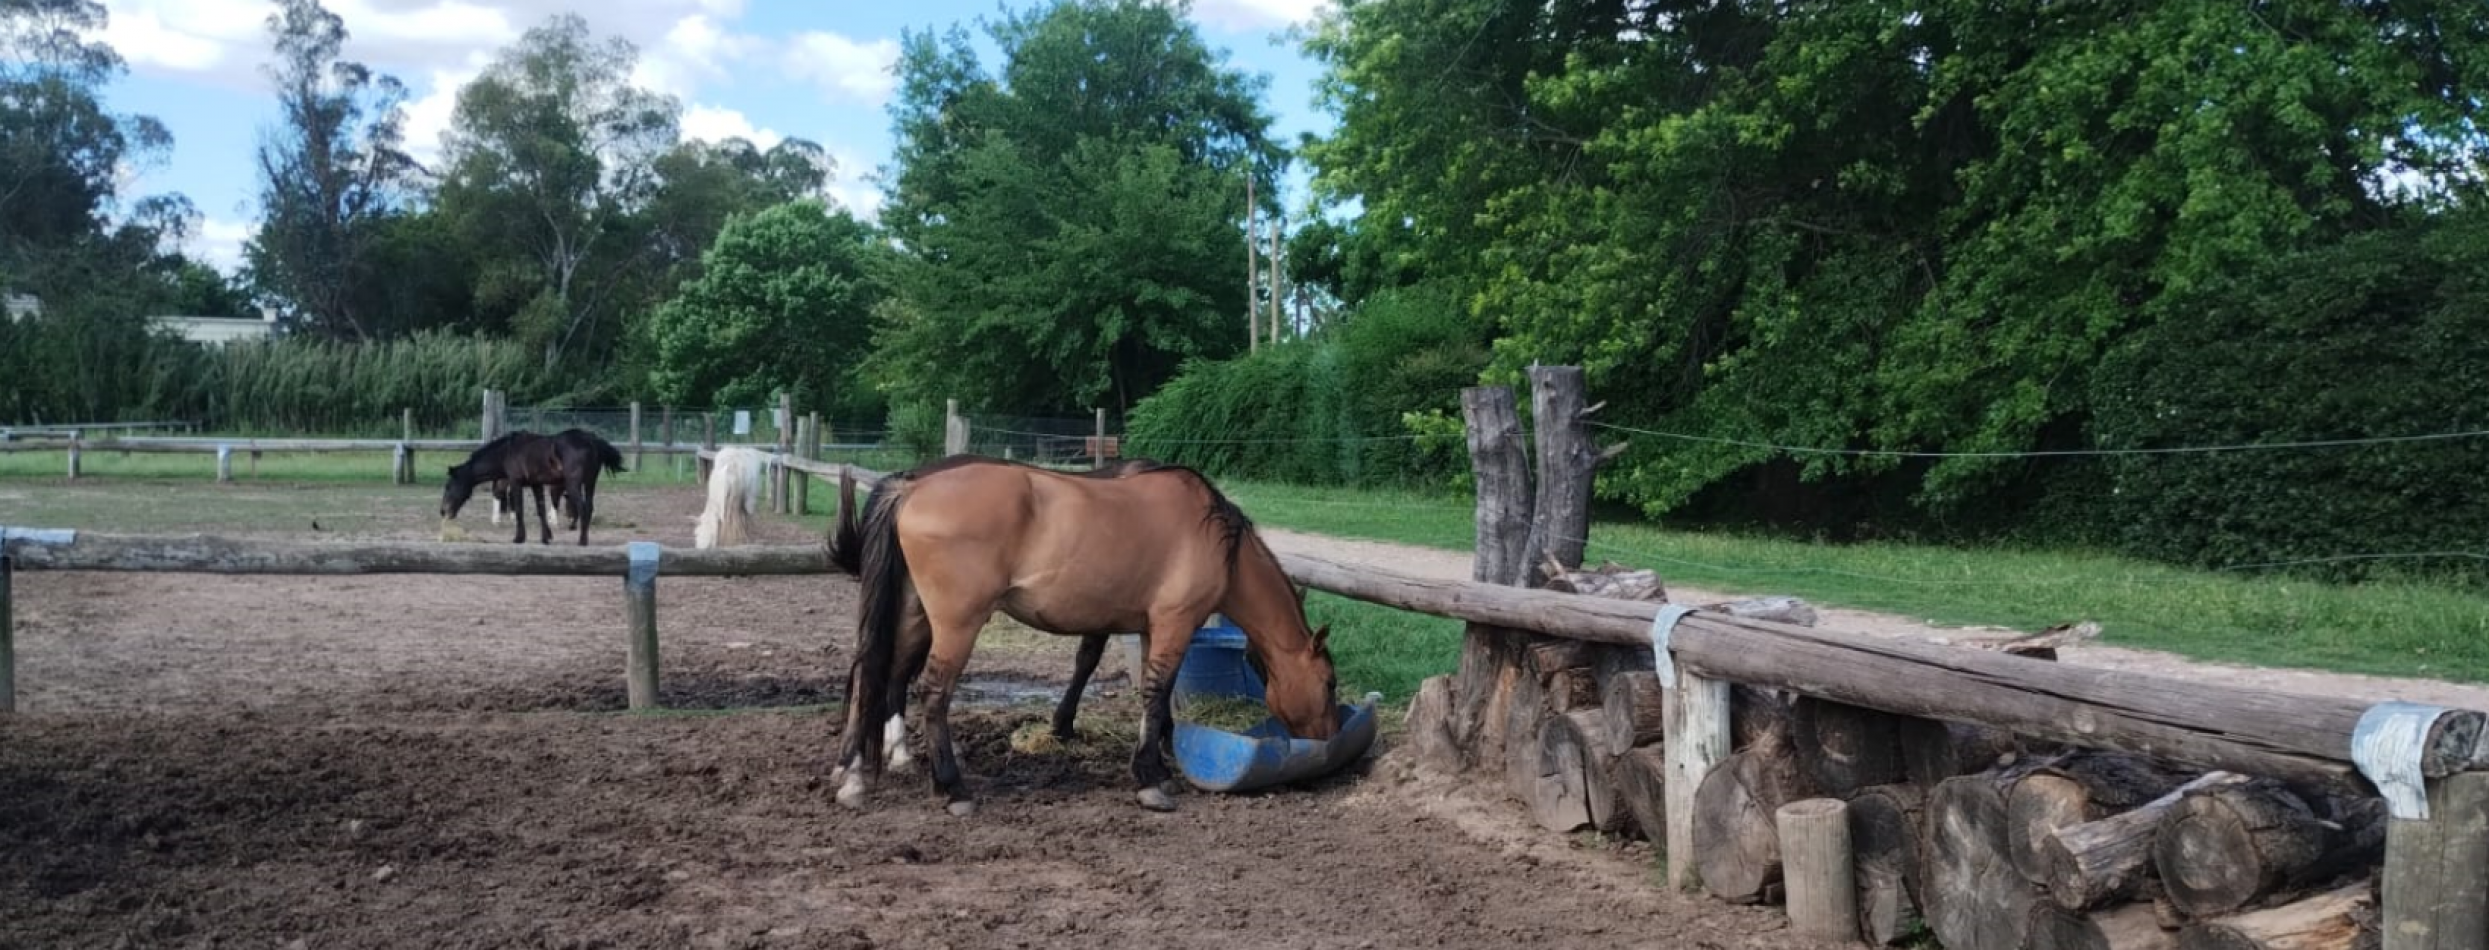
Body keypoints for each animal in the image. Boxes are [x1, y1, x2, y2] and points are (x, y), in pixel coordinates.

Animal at [443, 427, 627, 542]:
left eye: (448, 486)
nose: (443, 511)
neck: (507, 451)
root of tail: (591, 440)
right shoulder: (536, 484)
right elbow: (541, 510)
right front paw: (546, 537)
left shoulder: (516, 483)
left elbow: (519, 509)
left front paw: (519, 538)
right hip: (590, 484)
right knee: (588, 507)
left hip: (574, 485)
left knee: (582, 509)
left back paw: (582, 541)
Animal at [826, 457, 1344, 810]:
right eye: (1329, 683)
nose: (1330, 739)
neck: (1215, 536)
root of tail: (912, 487)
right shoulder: (1175, 623)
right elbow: (1157, 693)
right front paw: (1149, 779)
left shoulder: (1153, 628)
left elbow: (1157, 697)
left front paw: (1159, 763)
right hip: (956, 624)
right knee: (932, 692)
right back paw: (952, 787)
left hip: (913, 614)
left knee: (872, 677)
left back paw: (852, 776)